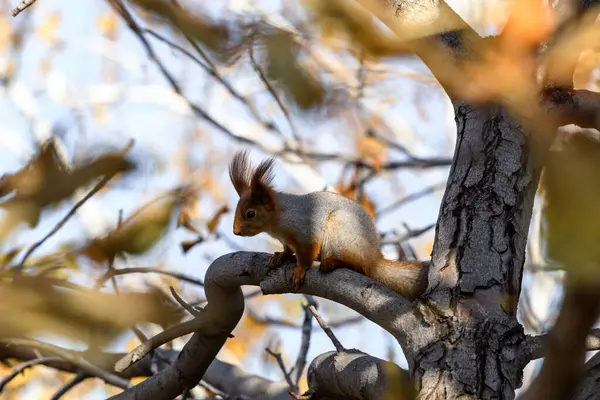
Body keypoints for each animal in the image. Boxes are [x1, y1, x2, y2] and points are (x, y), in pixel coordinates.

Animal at [227, 151, 428, 300]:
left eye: (250, 213)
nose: (235, 231)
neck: (277, 221)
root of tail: (375, 258)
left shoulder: (305, 230)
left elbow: (307, 253)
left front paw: (300, 270)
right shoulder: (286, 239)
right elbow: (288, 249)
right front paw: (280, 257)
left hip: (341, 233)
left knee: (358, 265)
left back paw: (333, 262)